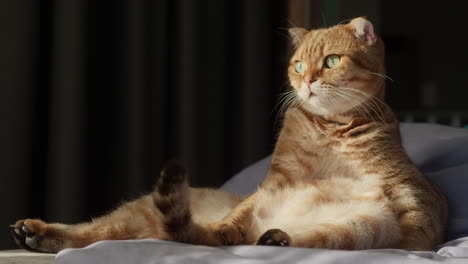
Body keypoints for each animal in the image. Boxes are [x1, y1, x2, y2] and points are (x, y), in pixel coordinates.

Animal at [11, 17, 446, 253]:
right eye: (298, 64)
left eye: (332, 61)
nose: (306, 81)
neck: (329, 132)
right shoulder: (272, 184)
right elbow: (233, 220)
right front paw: (223, 230)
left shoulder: (407, 194)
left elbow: (415, 232)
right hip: (130, 216)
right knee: (87, 233)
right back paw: (35, 232)